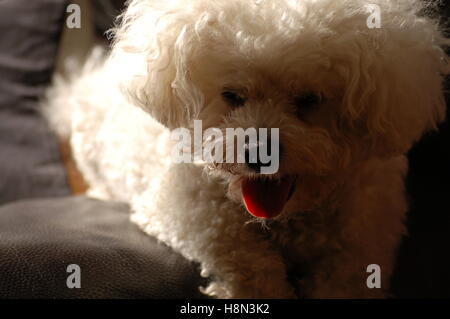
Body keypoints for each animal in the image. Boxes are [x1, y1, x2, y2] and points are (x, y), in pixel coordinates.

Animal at [44, 0, 446, 298]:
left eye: (309, 99)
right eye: (232, 95)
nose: (257, 155)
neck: (285, 218)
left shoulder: (361, 243)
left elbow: (343, 281)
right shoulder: (182, 210)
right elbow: (241, 252)